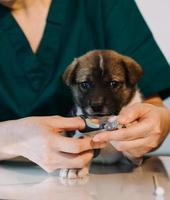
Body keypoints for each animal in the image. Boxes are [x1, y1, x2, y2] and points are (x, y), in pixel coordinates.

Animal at [60, 49, 143, 178]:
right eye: (85, 84)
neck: (103, 120)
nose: (96, 105)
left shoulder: (136, 159)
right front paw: (73, 167)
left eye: (113, 83)